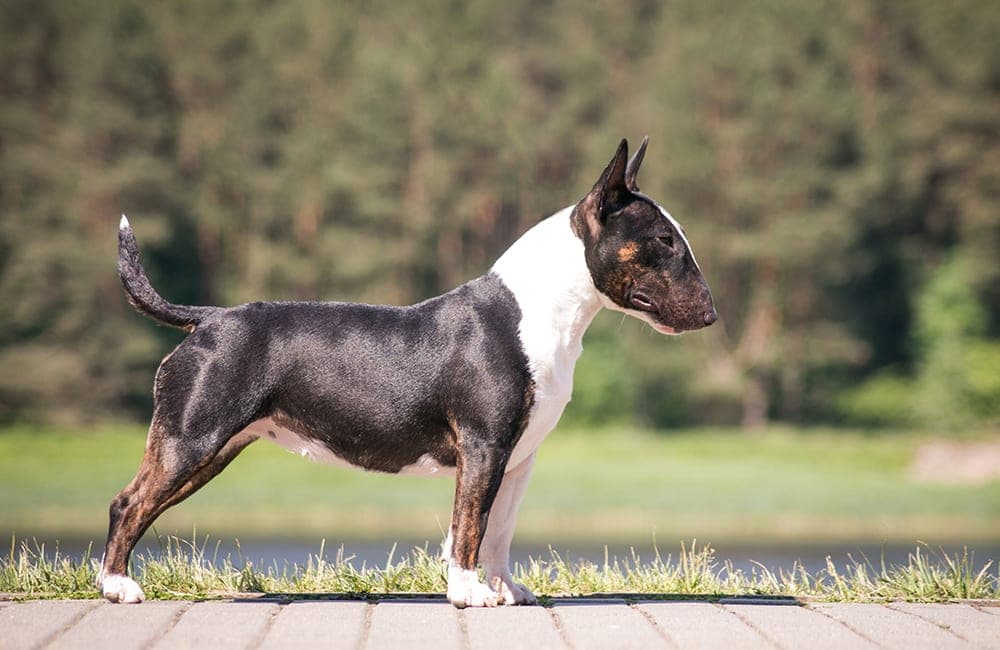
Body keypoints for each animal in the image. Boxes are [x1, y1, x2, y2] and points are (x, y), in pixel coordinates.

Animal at [97, 138, 716, 608]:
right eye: (663, 240)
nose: (711, 313)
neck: (543, 310)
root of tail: (209, 318)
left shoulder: (519, 457)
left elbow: (500, 529)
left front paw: (508, 589)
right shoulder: (483, 446)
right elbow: (469, 526)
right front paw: (469, 594)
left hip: (213, 448)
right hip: (191, 437)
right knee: (129, 503)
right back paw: (118, 586)